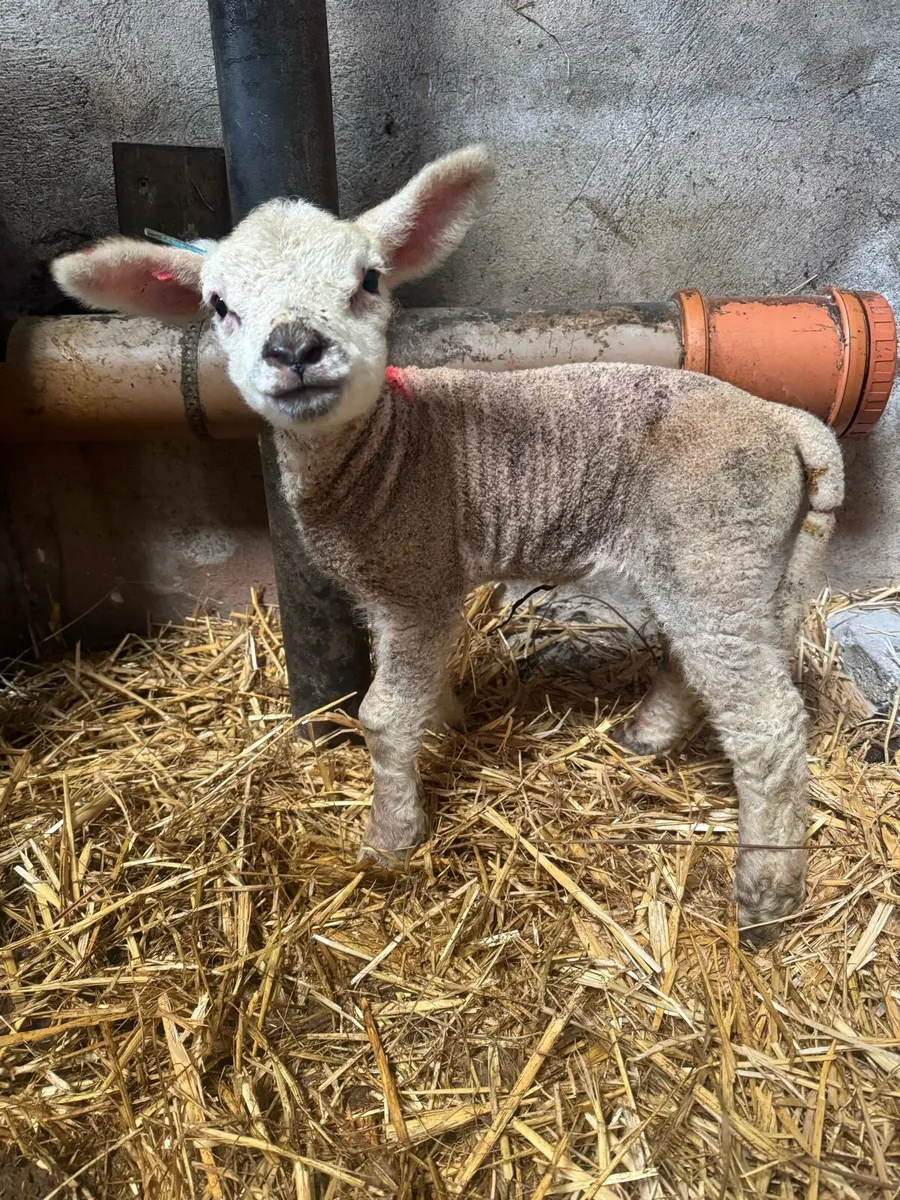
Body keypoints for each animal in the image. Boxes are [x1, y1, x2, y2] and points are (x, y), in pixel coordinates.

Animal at [52, 146, 844, 940]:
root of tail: (785, 422)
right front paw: (446, 727)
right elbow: (419, 687)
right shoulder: (394, 588)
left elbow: (382, 717)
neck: (383, 449)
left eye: (369, 280)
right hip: (719, 562)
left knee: (767, 722)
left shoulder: (418, 582)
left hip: (715, 541)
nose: (295, 348)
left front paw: (391, 839)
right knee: (701, 661)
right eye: (218, 305)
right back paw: (647, 738)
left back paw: (768, 893)